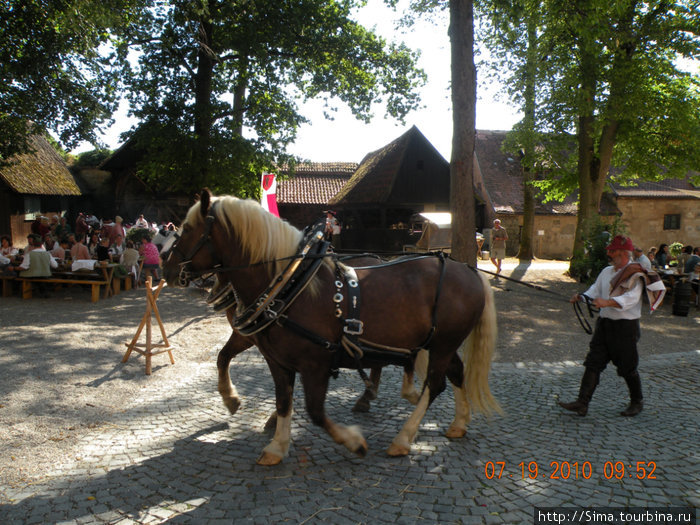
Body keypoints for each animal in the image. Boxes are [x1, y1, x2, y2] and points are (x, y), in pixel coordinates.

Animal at [164, 190, 500, 464]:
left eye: (188, 229)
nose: (167, 267)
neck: (290, 286)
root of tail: (469, 270)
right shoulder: (277, 361)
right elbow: (282, 400)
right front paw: (277, 445)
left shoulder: (316, 363)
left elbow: (315, 411)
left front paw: (353, 442)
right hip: (442, 344)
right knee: (456, 373)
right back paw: (458, 423)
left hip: (443, 344)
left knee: (436, 383)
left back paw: (403, 437)